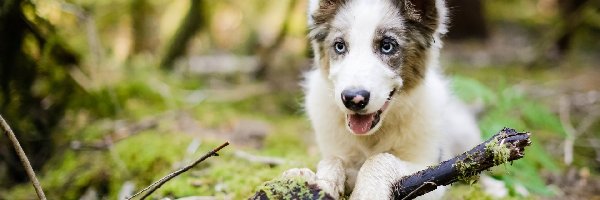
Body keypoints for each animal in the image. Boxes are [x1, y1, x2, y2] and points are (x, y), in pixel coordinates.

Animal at [286, 0, 482, 198]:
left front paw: (366, 192)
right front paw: (314, 181)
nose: (353, 99)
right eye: (339, 46)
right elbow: (332, 159)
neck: (371, 136)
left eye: (387, 46)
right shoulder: (335, 149)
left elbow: (381, 158)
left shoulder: (431, 172)